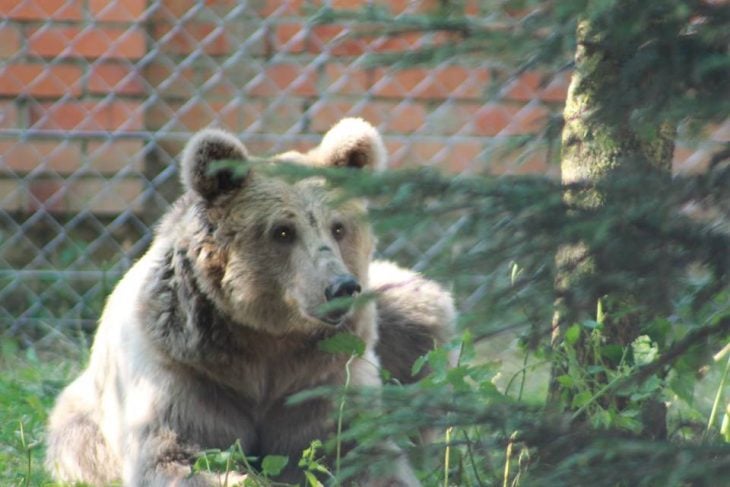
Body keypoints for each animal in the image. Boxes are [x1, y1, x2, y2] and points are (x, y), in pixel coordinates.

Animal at [44, 119, 456, 487]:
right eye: (283, 231)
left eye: (338, 227)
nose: (340, 287)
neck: (265, 338)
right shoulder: (184, 371)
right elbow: (177, 456)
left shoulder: (322, 375)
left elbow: (358, 453)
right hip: (82, 421)